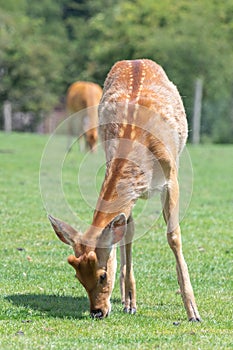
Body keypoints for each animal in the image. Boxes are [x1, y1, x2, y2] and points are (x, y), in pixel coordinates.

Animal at [50, 58, 201, 322]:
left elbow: (174, 236)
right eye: (77, 276)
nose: (97, 312)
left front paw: (193, 311)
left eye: (102, 275)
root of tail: (135, 60)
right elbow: (128, 235)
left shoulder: (171, 177)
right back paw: (124, 297)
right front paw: (131, 301)